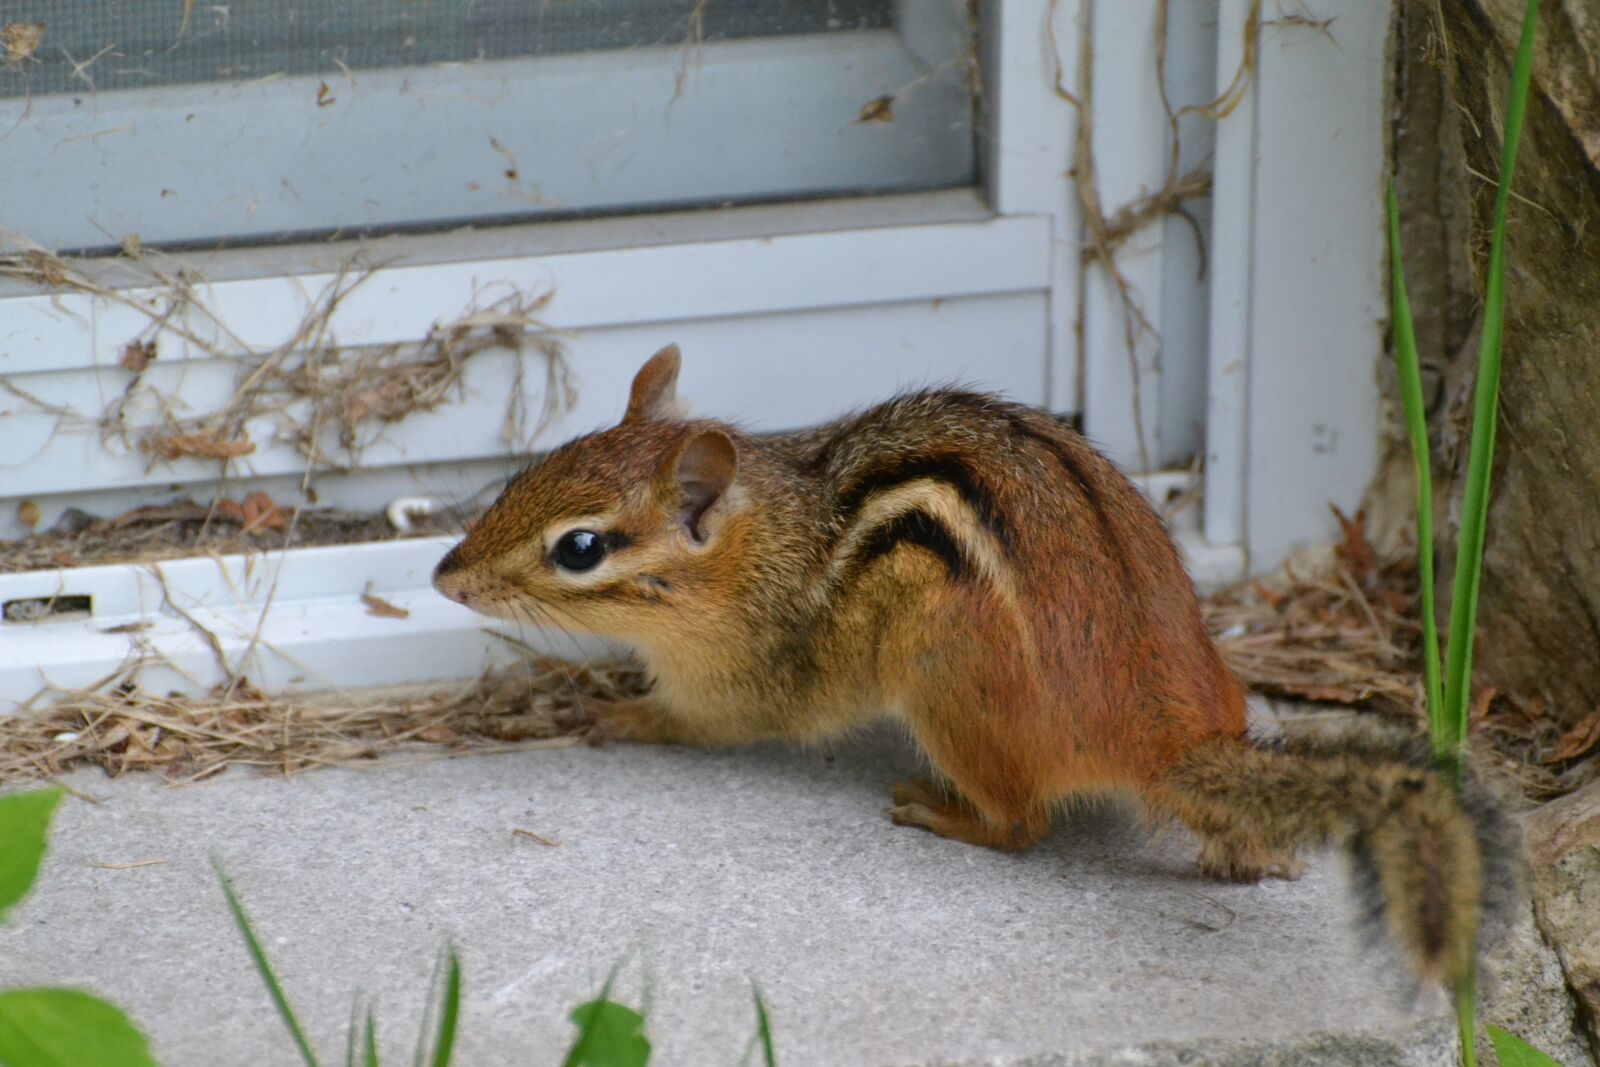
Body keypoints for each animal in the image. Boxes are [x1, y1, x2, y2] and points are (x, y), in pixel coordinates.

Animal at [434, 344, 1516, 987]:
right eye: (536, 466)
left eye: (580, 547)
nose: (444, 574)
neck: (765, 540)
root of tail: (1168, 731)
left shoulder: (751, 677)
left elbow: (700, 720)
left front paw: (611, 710)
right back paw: (1246, 847)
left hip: (943, 676)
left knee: (1021, 825)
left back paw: (940, 810)